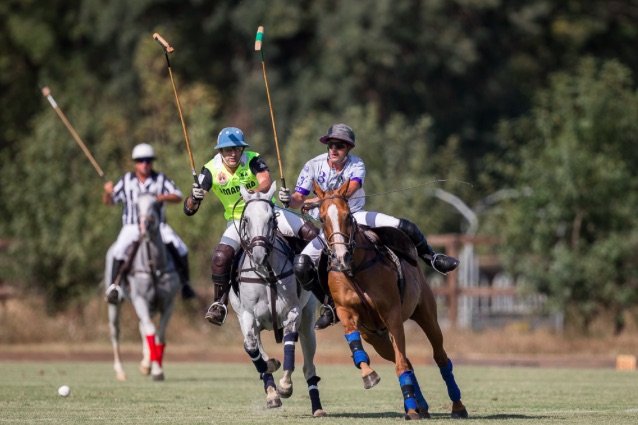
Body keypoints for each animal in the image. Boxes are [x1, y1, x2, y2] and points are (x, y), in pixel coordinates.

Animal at [104, 192, 181, 381]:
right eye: (136, 206)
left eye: (156, 204)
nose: (144, 227)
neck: (153, 265)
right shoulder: (141, 299)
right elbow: (151, 330)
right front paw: (155, 369)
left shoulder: (168, 303)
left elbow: (159, 335)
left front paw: (155, 369)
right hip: (115, 304)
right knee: (115, 331)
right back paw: (121, 370)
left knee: (142, 327)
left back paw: (146, 364)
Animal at [228, 183, 326, 417]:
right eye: (246, 220)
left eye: (271, 218)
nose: (258, 255)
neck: (267, 273)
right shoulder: (247, 315)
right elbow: (252, 347)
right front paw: (272, 391)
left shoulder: (293, 312)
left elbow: (289, 344)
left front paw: (285, 386)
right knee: (254, 347)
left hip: (307, 319)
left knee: (309, 366)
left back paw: (317, 407)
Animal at [308, 180, 468, 420]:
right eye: (322, 218)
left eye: (348, 216)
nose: (341, 258)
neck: (356, 269)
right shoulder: (347, 312)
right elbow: (356, 345)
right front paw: (369, 375)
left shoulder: (392, 316)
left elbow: (401, 365)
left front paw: (410, 409)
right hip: (376, 337)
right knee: (406, 361)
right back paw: (420, 406)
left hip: (426, 314)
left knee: (440, 357)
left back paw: (456, 407)